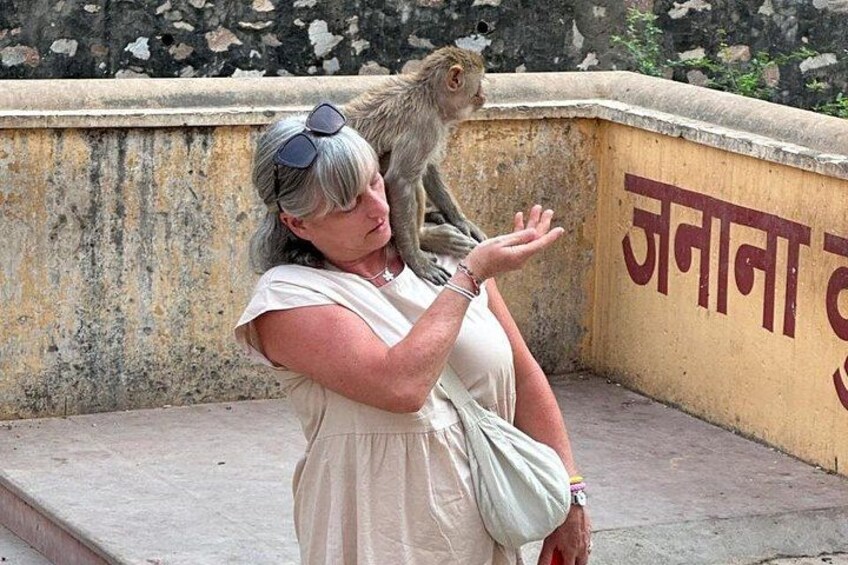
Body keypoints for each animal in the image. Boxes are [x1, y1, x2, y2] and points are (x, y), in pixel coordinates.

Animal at [345, 46, 488, 285]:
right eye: (479, 83)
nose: (484, 95)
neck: (428, 95)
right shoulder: (425, 124)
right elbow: (399, 181)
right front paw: (415, 259)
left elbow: (429, 168)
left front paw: (461, 221)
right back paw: (423, 237)